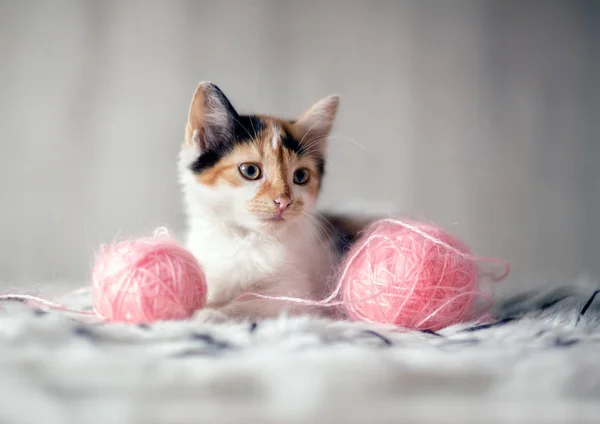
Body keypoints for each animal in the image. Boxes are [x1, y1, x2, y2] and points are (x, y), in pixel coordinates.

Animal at [177, 82, 366, 322]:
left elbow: (254, 304)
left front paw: (210, 314)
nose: (283, 201)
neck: (245, 239)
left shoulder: (296, 294)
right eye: (250, 170)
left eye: (300, 176)